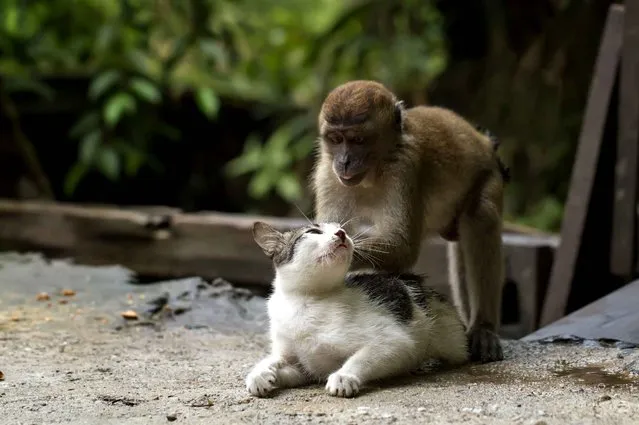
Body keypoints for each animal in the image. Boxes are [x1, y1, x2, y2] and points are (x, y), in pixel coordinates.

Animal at [245, 220, 470, 396]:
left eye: (340, 228)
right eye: (313, 232)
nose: (341, 233)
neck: (305, 301)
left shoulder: (394, 340)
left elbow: (362, 357)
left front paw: (343, 376)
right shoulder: (301, 366)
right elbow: (277, 362)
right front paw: (260, 374)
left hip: (452, 340)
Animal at [310, 79, 510, 362]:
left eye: (358, 140)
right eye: (336, 139)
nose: (345, 161)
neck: (375, 170)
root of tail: (483, 140)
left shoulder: (405, 168)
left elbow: (402, 247)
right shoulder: (327, 173)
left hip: (492, 173)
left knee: (482, 214)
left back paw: (483, 328)